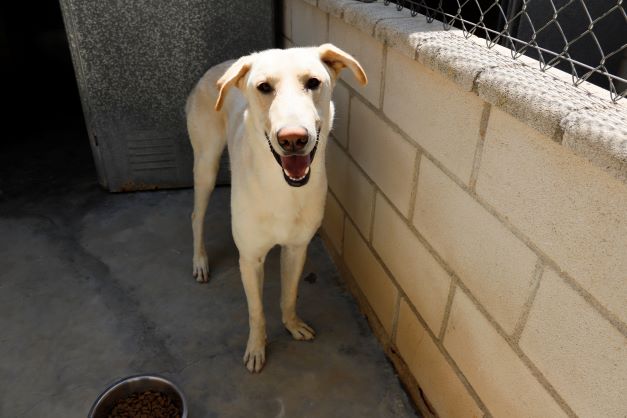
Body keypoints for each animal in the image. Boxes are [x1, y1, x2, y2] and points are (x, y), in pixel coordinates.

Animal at [185, 44, 367, 372]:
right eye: (264, 87)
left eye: (313, 82)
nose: (293, 139)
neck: (283, 189)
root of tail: (218, 68)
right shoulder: (250, 259)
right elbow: (256, 311)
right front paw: (257, 348)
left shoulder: (297, 249)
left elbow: (289, 295)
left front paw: (292, 325)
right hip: (206, 165)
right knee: (196, 216)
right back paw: (200, 261)